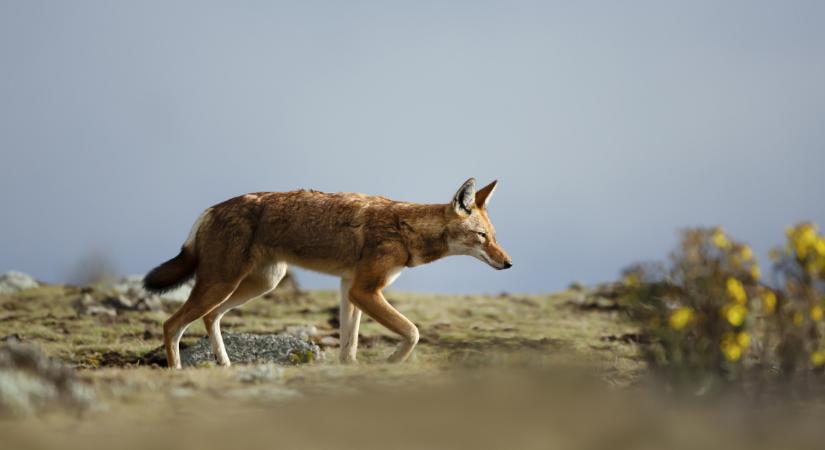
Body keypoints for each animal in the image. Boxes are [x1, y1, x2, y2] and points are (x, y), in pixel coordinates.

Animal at [145, 178, 512, 368]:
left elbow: (349, 348)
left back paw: (225, 366)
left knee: (209, 318)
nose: (508, 263)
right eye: (482, 236)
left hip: (258, 284)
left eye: (494, 237)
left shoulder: (349, 288)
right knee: (172, 325)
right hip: (224, 284)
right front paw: (392, 362)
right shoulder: (363, 290)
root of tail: (209, 210)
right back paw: (178, 372)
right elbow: (412, 332)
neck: (405, 228)